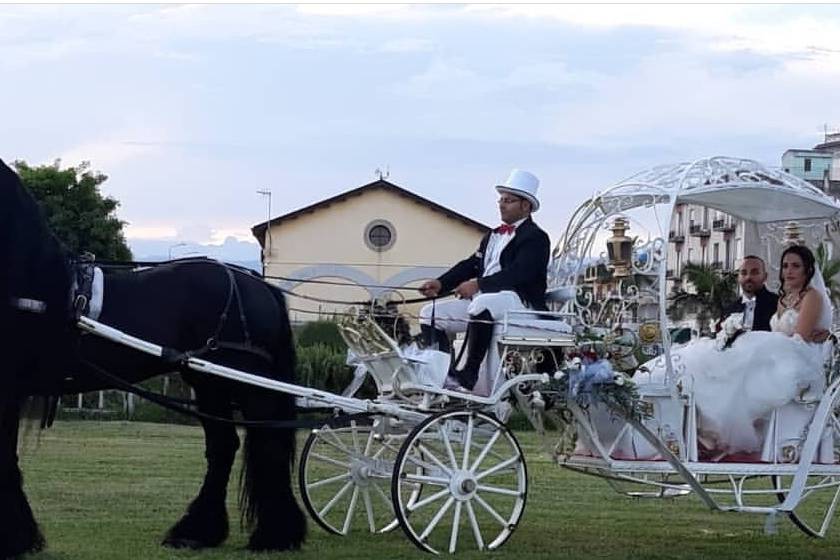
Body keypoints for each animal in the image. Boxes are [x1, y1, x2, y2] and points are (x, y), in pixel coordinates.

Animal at [0, 160, 306, 556]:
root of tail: (259, 285)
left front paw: (16, 538)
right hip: (208, 384)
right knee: (225, 446)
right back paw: (198, 532)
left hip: (241, 382)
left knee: (265, 445)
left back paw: (273, 535)